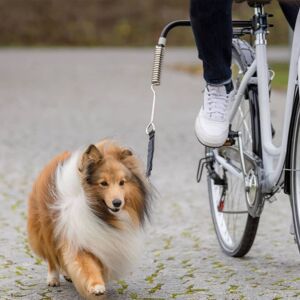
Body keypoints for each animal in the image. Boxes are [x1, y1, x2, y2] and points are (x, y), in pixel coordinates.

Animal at [27, 140, 151, 298]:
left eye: (122, 182)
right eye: (103, 183)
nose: (117, 203)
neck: (100, 213)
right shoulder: (79, 239)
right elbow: (87, 265)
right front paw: (96, 286)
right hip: (46, 229)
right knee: (51, 257)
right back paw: (53, 278)